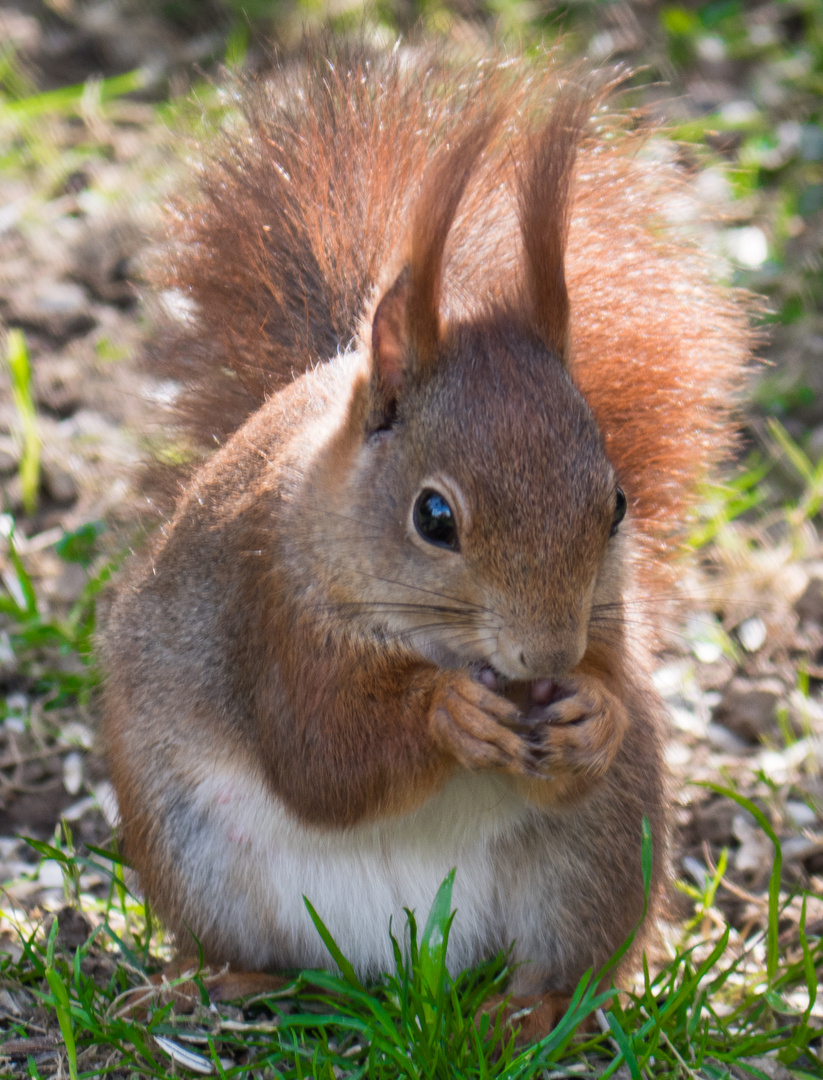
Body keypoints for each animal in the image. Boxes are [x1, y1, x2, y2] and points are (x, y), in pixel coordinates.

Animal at [99, 44, 747, 1036]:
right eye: (433, 518)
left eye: (616, 505)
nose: (544, 655)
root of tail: (404, 967)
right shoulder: (270, 611)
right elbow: (320, 756)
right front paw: (447, 715)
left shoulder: (603, 633)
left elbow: (594, 709)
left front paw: (593, 715)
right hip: (192, 845)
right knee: (271, 957)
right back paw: (217, 984)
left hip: (597, 855)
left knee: (565, 965)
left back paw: (524, 1011)